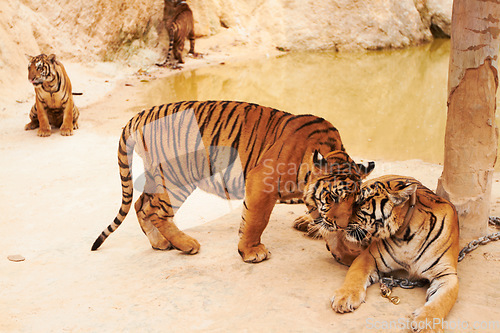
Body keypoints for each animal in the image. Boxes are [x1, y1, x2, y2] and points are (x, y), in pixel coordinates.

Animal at [91, 100, 372, 264]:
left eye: (355, 202)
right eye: (333, 197)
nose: (344, 224)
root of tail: (140, 114)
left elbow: (326, 227)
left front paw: (343, 252)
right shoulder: (261, 182)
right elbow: (256, 220)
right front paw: (251, 251)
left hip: (160, 175)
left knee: (141, 204)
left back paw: (160, 243)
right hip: (175, 175)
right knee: (154, 209)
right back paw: (186, 244)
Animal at [330, 175, 458, 330]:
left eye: (360, 203)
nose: (339, 223)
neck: (408, 235)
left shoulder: (446, 274)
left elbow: (443, 300)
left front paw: (427, 324)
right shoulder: (369, 256)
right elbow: (355, 276)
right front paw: (344, 297)